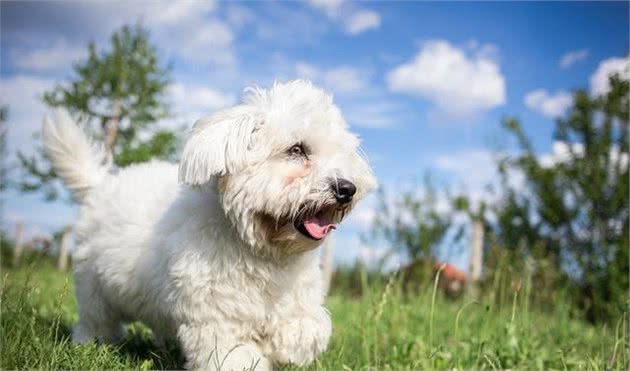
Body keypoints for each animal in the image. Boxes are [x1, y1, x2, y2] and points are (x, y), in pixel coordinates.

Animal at [45, 80, 380, 370]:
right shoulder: (217, 321)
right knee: (95, 320)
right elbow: (236, 358)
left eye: (342, 154)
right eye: (296, 149)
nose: (347, 188)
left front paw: (290, 341)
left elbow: (308, 325)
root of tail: (101, 184)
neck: (261, 250)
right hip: (93, 286)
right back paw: (90, 345)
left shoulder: (297, 296)